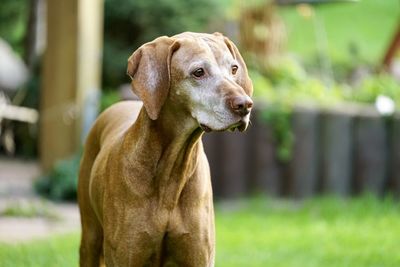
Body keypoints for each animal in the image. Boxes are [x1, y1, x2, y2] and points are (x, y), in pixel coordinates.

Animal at [78, 32, 253, 266]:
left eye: (234, 68)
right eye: (198, 72)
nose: (245, 105)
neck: (171, 174)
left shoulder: (199, 257)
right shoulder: (125, 255)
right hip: (90, 238)